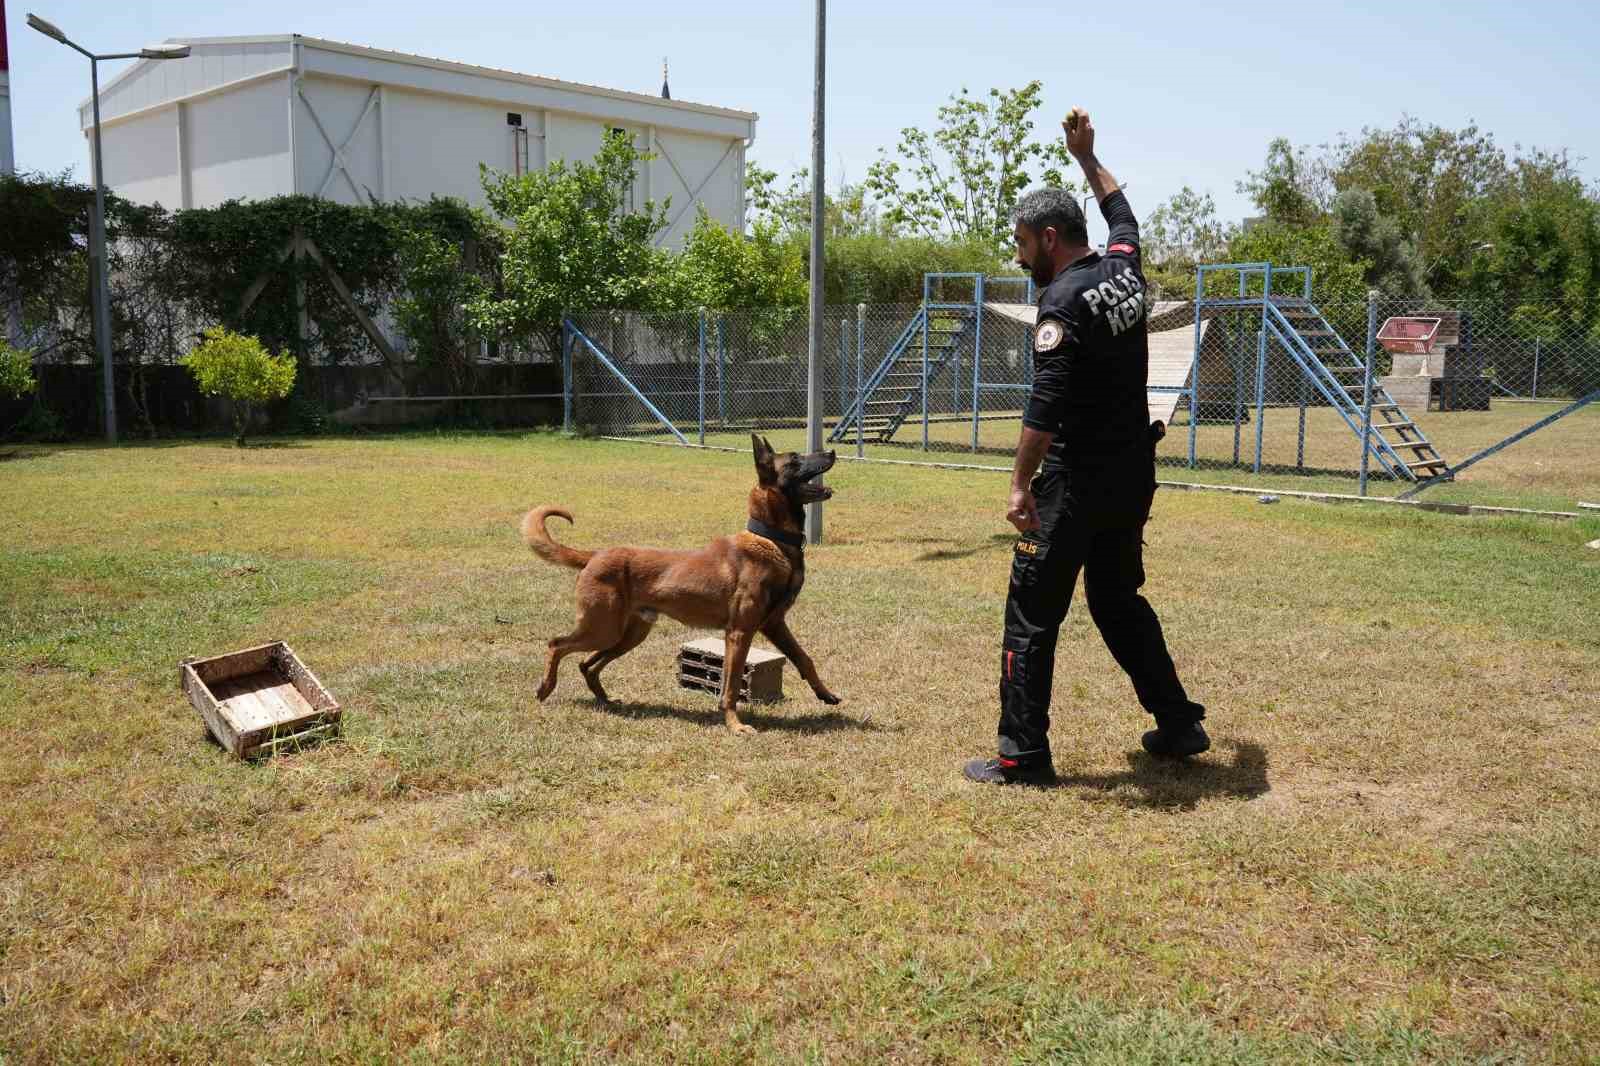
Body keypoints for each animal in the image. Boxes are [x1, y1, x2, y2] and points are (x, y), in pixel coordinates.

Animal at [524, 432, 851, 729]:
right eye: (795, 460)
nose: (832, 452)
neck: (770, 540)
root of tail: (595, 554)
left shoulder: (774, 624)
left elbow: (804, 659)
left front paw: (826, 694)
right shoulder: (740, 632)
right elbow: (731, 685)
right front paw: (735, 725)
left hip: (627, 634)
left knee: (587, 664)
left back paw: (605, 699)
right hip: (603, 628)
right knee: (557, 644)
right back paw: (545, 688)